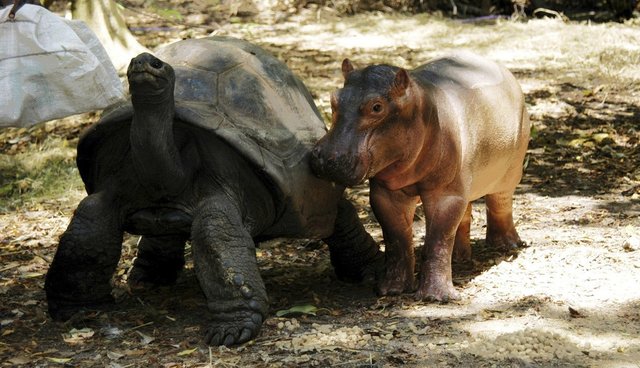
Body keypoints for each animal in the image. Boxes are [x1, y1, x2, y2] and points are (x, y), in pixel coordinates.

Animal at [312, 51, 528, 300]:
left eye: (377, 107)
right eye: (334, 98)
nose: (326, 159)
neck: (421, 106)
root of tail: (505, 71)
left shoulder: (445, 193)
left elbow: (439, 238)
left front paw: (436, 297)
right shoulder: (386, 194)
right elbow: (396, 238)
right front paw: (390, 289)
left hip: (511, 169)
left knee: (500, 201)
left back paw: (507, 246)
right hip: (466, 179)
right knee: (465, 212)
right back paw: (459, 257)